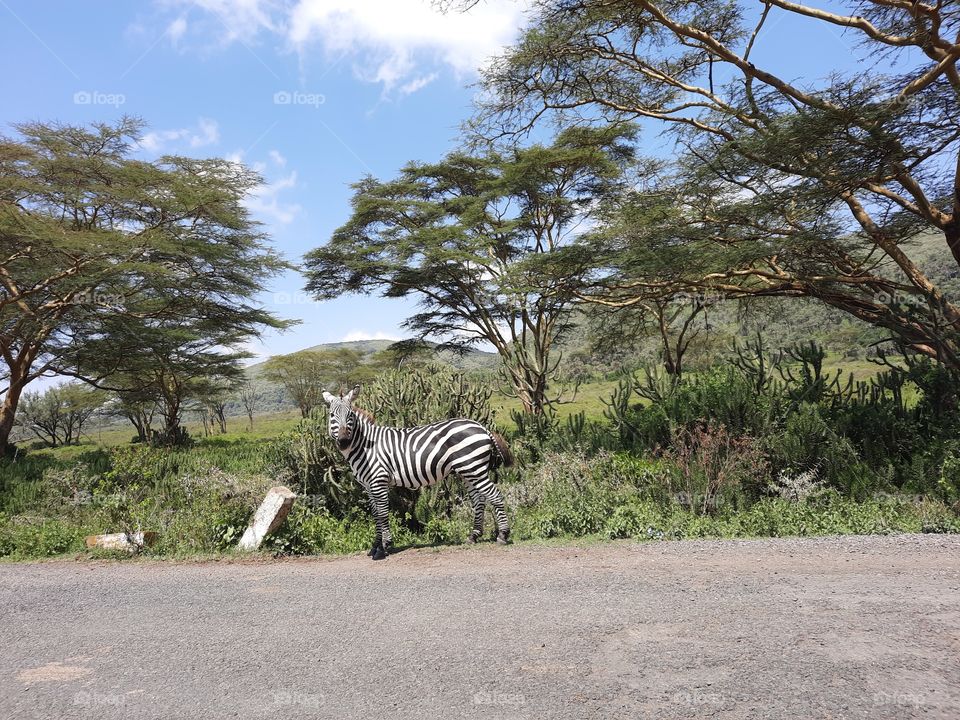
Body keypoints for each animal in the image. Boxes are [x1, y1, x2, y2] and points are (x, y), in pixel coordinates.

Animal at [321, 385, 514, 561]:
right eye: (332, 416)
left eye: (350, 415)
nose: (344, 441)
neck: (365, 446)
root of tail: (481, 426)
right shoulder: (368, 485)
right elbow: (375, 514)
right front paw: (375, 546)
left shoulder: (378, 481)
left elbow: (382, 513)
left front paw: (384, 547)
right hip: (468, 471)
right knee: (479, 500)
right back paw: (473, 536)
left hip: (474, 468)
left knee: (495, 495)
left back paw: (503, 535)